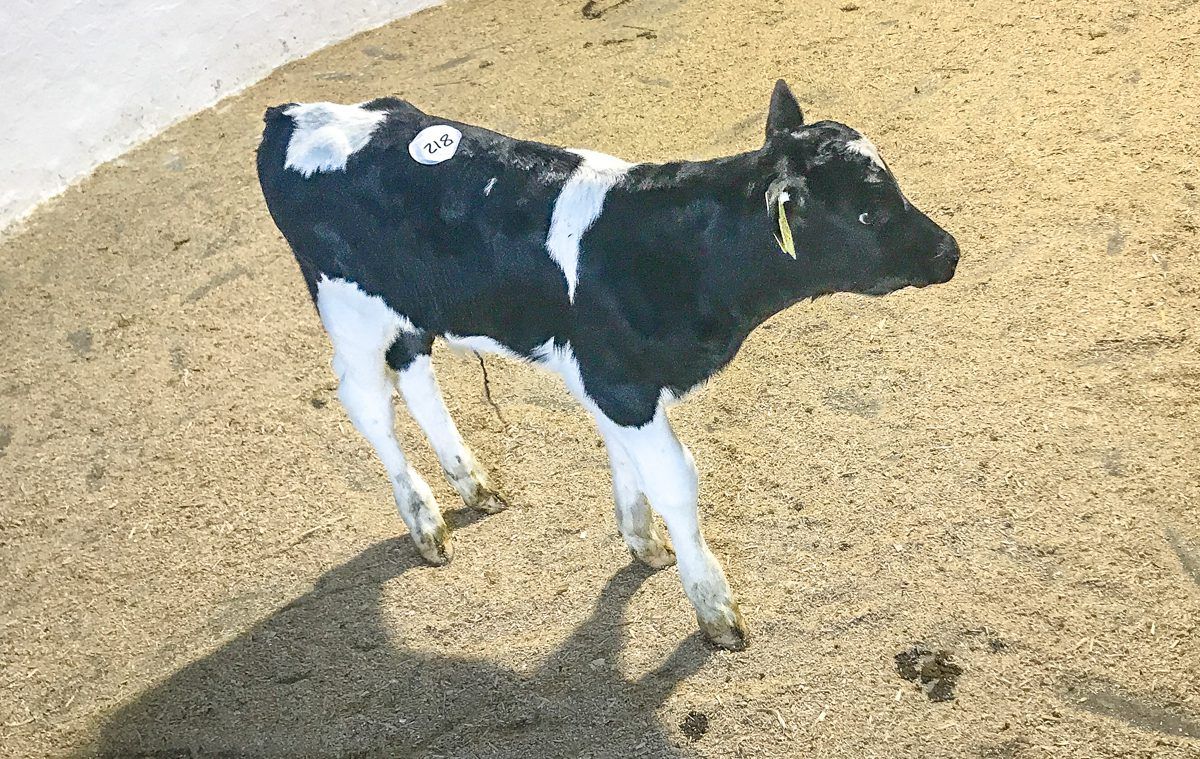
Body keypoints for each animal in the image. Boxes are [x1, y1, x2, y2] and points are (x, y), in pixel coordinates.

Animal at [256, 80, 959, 650]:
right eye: (869, 210)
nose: (950, 252)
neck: (677, 251)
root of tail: (291, 113)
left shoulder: (609, 380)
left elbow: (628, 460)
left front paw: (642, 542)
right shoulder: (621, 383)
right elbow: (675, 478)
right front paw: (714, 608)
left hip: (409, 305)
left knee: (414, 371)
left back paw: (474, 484)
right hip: (345, 305)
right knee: (366, 400)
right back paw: (424, 520)